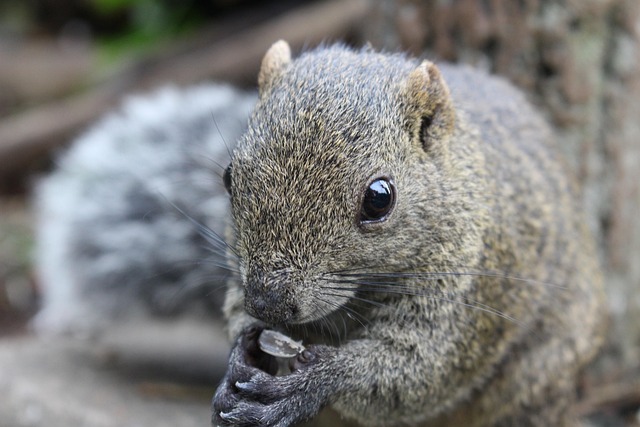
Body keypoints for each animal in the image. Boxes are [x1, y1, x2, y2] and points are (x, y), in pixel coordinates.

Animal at [210, 41, 606, 427]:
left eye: (378, 199)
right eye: (229, 177)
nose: (267, 303)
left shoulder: (469, 288)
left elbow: (419, 366)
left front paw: (313, 382)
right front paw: (239, 357)